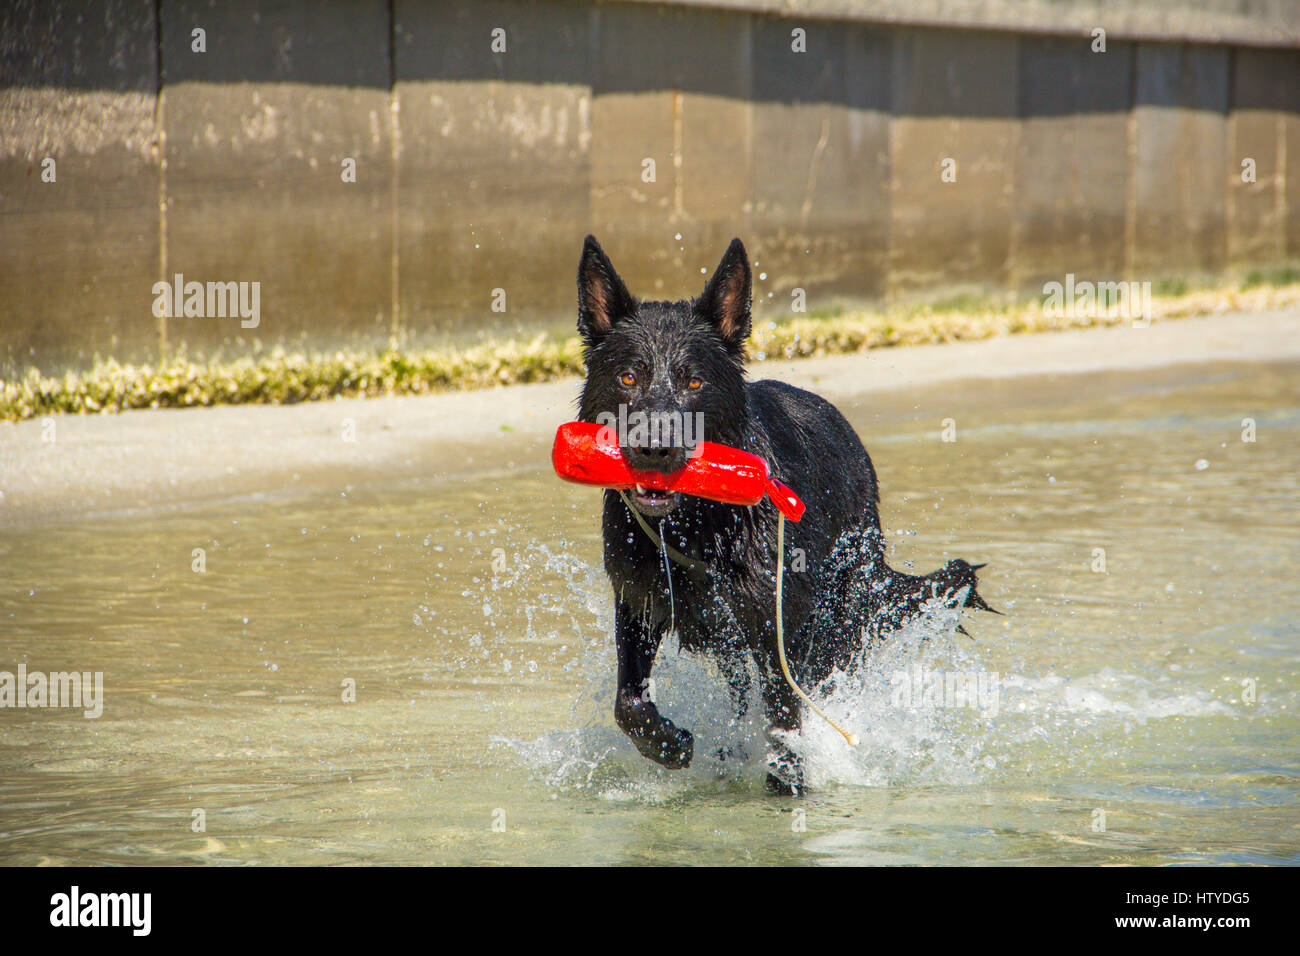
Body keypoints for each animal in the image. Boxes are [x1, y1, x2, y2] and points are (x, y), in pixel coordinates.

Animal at [574, 235, 987, 796]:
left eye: (694, 382)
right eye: (628, 376)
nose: (655, 448)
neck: (697, 527)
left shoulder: (779, 628)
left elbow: (785, 721)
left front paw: (787, 783)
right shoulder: (638, 603)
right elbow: (628, 702)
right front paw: (669, 744)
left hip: (836, 618)